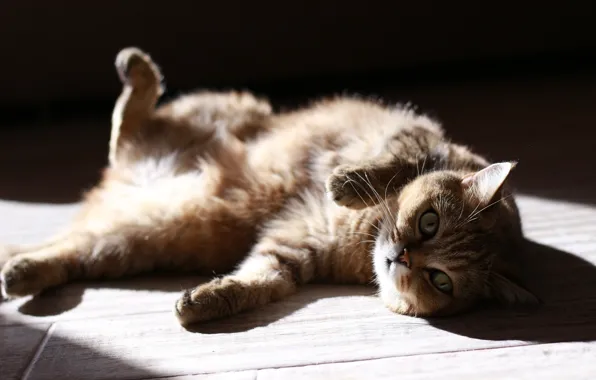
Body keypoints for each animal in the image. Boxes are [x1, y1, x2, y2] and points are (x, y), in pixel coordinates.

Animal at [0, 47, 536, 326]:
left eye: (440, 280)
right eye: (429, 222)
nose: (401, 257)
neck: (364, 235)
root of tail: (119, 186)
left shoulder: (294, 250)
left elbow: (259, 281)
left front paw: (207, 302)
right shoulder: (421, 135)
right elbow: (395, 161)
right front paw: (344, 182)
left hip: (134, 240)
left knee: (71, 248)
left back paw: (20, 272)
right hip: (227, 107)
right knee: (127, 123)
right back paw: (137, 69)